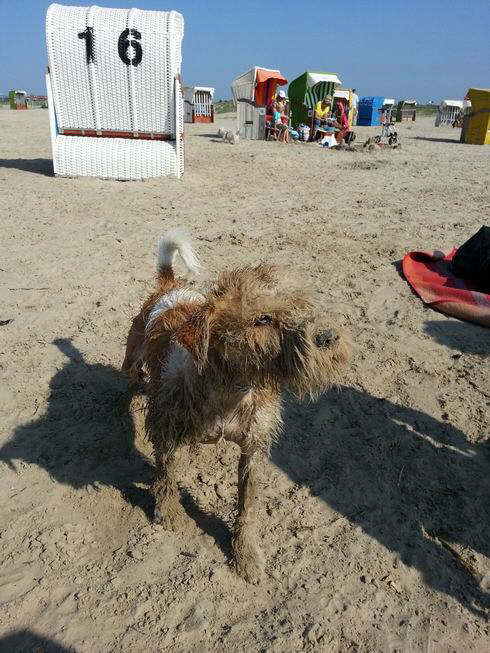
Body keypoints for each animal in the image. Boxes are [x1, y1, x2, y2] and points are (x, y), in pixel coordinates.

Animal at [123, 228, 352, 580]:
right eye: (262, 319)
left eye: (301, 305)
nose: (327, 337)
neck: (229, 389)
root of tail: (170, 287)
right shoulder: (165, 431)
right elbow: (165, 477)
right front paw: (169, 514)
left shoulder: (253, 449)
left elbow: (247, 506)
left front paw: (246, 555)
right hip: (133, 355)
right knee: (128, 377)